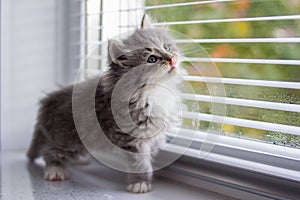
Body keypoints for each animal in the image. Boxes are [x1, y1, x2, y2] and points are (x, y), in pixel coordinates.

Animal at [28, 14, 182, 193]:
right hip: (69, 139)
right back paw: (55, 170)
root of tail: (48, 101)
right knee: (50, 152)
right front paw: (140, 183)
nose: (172, 59)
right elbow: (140, 163)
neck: (152, 92)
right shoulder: (131, 139)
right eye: (152, 59)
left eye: (167, 48)